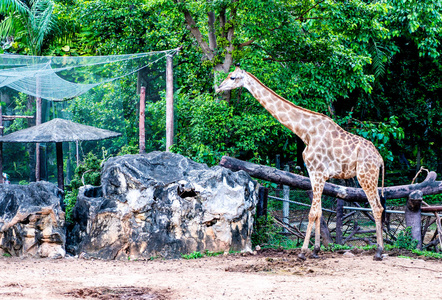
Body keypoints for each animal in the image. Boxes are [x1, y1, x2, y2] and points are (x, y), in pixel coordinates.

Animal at [216, 65, 386, 260]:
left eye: (232, 77)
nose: (218, 88)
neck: (305, 133)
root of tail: (380, 159)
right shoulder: (314, 173)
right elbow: (319, 212)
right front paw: (316, 250)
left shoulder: (318, 172)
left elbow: (312, 213)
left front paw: (303, 252)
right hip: (370, 177)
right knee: (379, 207)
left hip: (366, 176)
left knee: (377, 208)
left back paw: (379, 251)